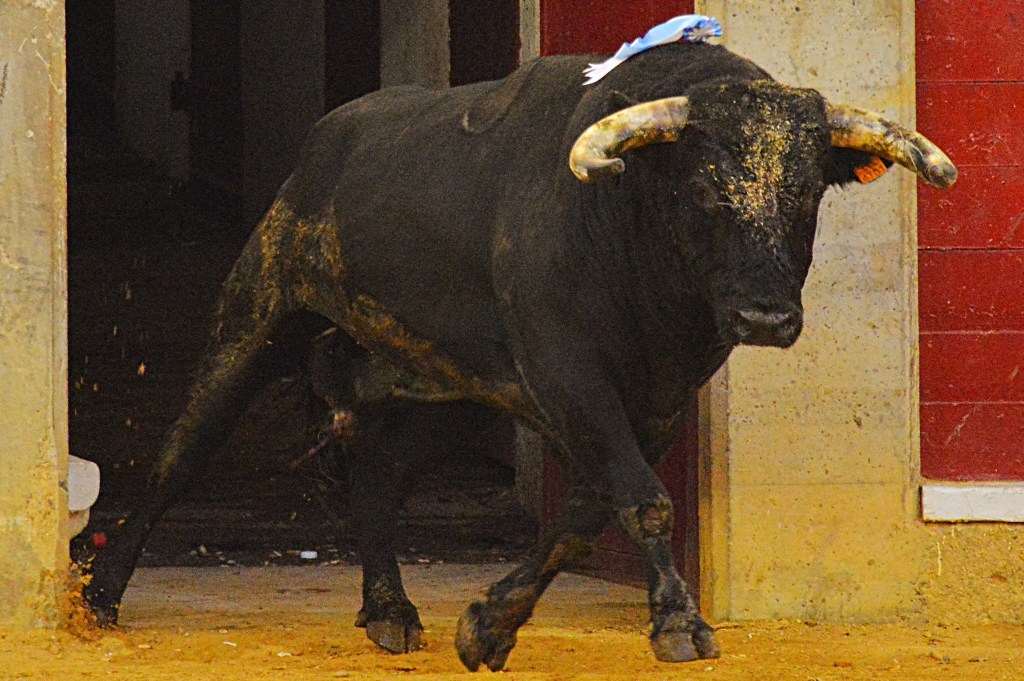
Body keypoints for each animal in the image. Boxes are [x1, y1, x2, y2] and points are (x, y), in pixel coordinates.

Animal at [76, 41, 956, 671]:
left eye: (806, 193)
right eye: (706, 188)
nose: (765, 316)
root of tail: (324, 145)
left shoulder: (654, 400)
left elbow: (588, 513)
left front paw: (488, 624)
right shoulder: (570, 375)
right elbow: (643, 501)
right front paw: (679, 621)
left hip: (444, 390)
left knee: (374, 480)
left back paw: (389, 609)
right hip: (257, 319)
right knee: (181, 454)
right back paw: (102, 595)